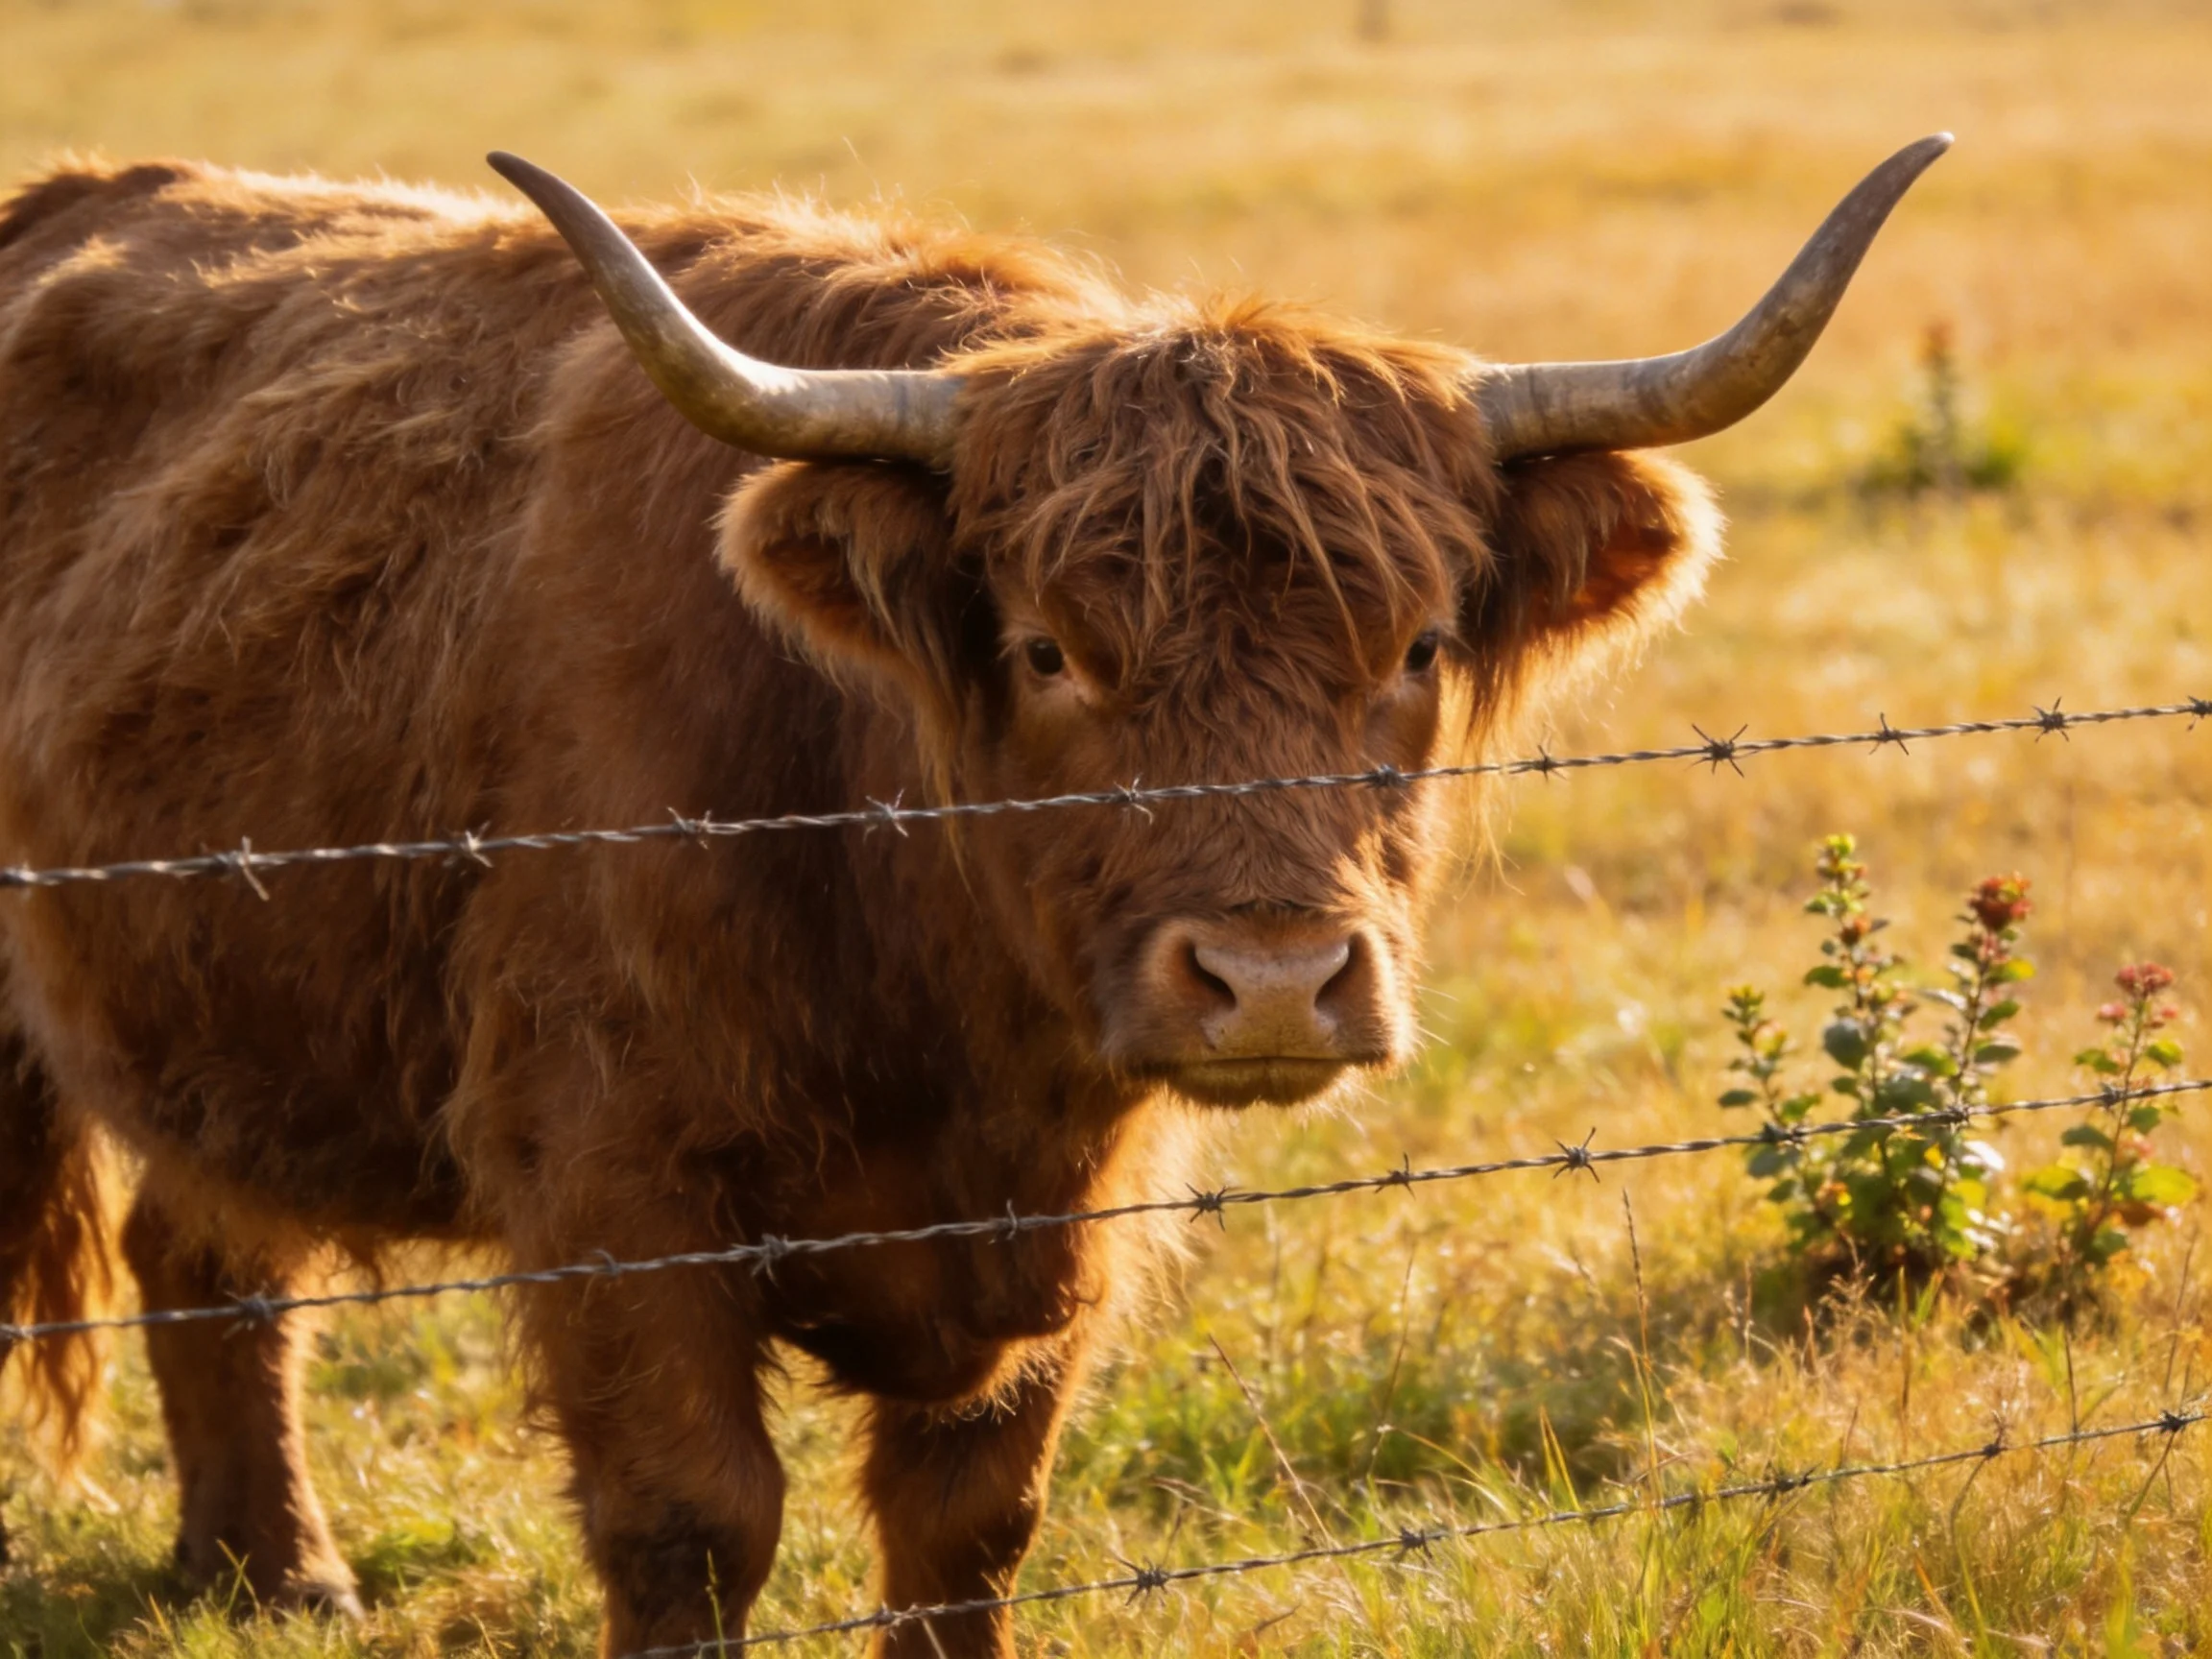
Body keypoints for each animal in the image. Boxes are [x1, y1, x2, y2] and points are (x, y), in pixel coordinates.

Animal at [0, 134, 1947, 1655]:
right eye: (1047, 648)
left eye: (1411, 646)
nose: (1269, 978)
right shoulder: (608, 1178)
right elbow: (690, 1522)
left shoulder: (1055, 1241)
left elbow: (968, 1532)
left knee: (206, 1246)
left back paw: (270, 1575)